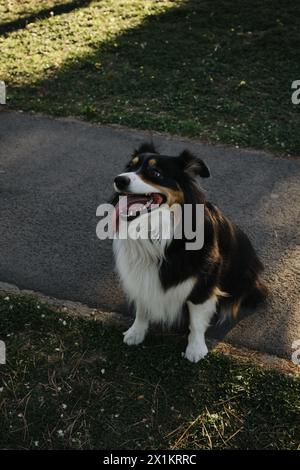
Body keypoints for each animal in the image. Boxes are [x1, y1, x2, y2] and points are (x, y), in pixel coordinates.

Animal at [112, 141, 268, 362]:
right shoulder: (140, 272)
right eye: (129, 167)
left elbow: (196, 318)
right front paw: (136, 331)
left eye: (155, 172)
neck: (160, 229)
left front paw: (195, 349)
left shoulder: (204, 280)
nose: (119, 179)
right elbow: (142, 303)